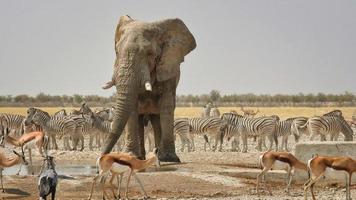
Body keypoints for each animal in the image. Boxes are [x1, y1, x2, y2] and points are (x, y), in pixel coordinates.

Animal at [101, 15, 196, 162]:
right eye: (117, 52)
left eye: (150, 54)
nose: (100, 159)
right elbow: (132, 109)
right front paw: (130, 156)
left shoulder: (169, 68)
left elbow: (167, 106)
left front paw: (170, 159)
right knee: (140, 121)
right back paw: (140, 157)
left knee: (157, 120)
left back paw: (159, 156)